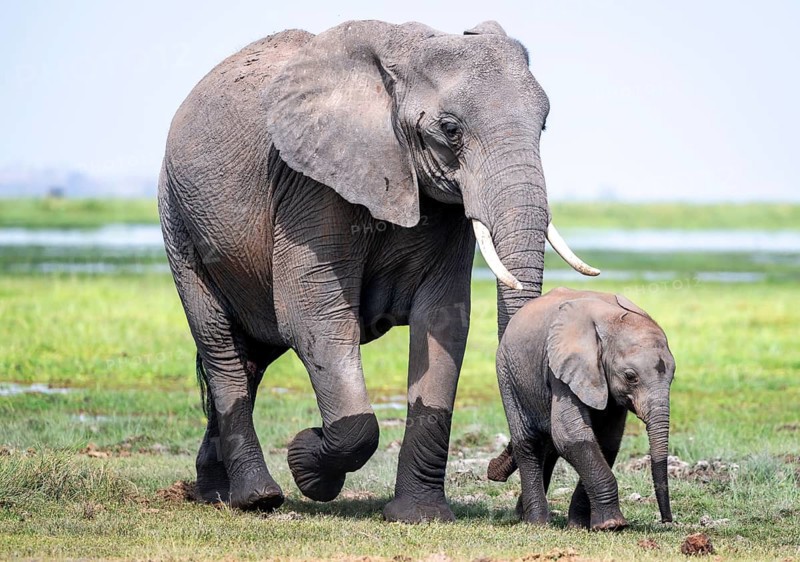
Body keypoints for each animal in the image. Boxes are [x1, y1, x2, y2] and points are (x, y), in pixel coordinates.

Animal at [157, 19, 597, 522]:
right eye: (450, 130)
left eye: (543, 124)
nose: (499, 474)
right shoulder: (309, 184)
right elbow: (314, 317)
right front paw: (306, 462)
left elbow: (443, 321)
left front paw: (419, 516)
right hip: (178, 218)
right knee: (221, 345)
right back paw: (257, 498)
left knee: (251, 358)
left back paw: (214, 493)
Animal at [487, 287, 674, 530]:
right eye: (630, 376)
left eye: (672, 377)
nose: (666, 520)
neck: (611, 320)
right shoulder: (561, 369)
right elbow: (571, 436)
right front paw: (613, 525)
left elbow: (606, 442)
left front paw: (582, 526)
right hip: (507, 373)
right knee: (529, 443)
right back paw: (537, 523)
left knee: (548, 445)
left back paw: (524, 515)